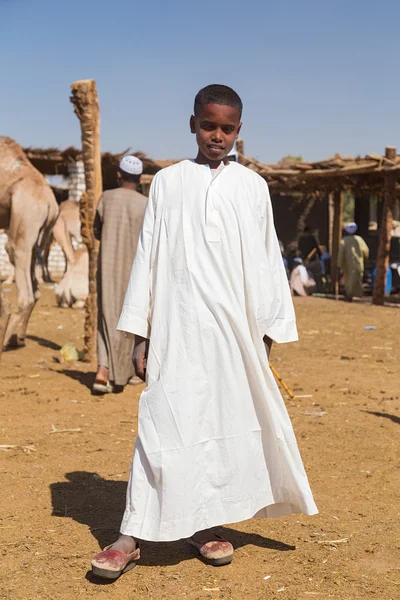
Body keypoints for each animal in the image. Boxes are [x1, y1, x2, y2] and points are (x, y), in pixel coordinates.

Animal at [0, 137, 59, 350]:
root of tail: (51, 203)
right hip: (38, 236)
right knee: (36, 291)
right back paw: (20, 337)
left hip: (23, 227)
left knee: (26, 296)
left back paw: (4, 342)